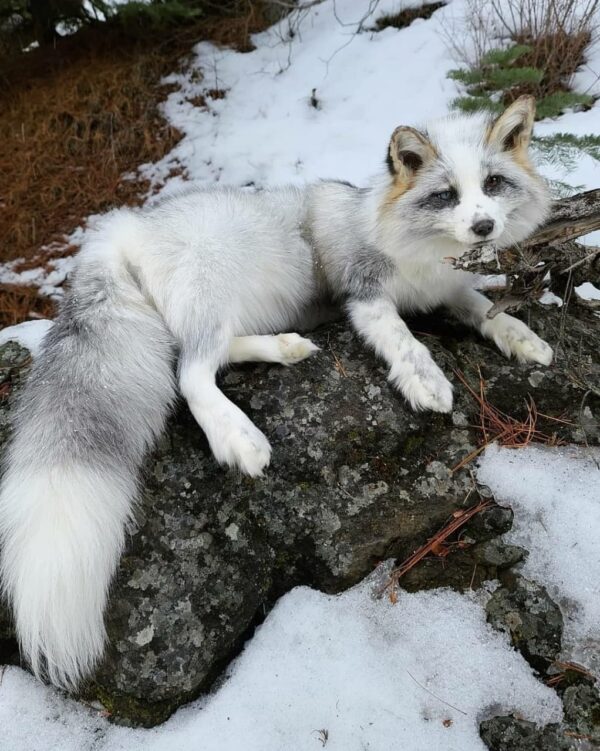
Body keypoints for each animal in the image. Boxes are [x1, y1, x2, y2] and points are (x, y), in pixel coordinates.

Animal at [0, 96, 553, 690]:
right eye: (446, 194)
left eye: (493, 184)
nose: (483, 226)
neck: (417, 248)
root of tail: (122, 230)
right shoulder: (365, 292)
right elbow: (404, 340)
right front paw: (426, 380)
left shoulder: (448, 289)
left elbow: (484, 308)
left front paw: (523, 337)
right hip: (216, 287)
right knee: (188, 373)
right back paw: (239, 436)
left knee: (211, 355)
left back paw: (286, 348)